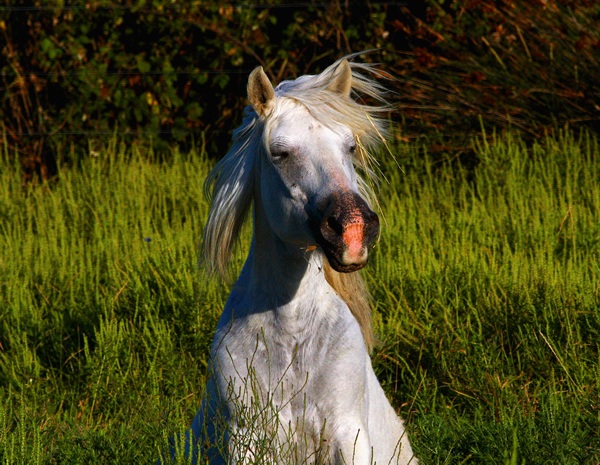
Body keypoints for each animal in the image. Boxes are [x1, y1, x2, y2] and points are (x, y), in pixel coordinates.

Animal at [182, 57, 418, 464]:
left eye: (350, 146)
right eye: (280, 153)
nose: (353, 230)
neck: (291, 337)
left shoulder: (347, 433)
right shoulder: (245, 438)